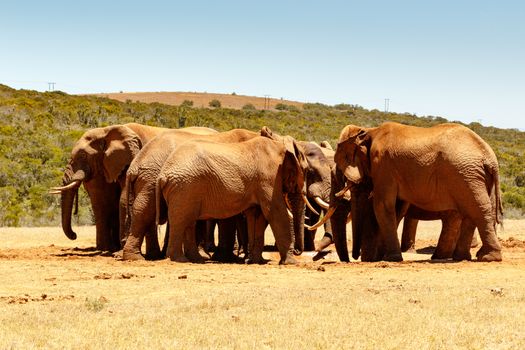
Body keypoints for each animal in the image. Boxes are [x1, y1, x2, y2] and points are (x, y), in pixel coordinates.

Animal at [119, 129, 258, 260]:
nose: (244, 255)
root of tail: (135, 165)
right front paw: (226, 258)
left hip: (149, 180)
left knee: (147, 212)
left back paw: (154, 256)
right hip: (151, 179)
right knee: (146, 211)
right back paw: (137, 257)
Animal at [158, 135, 310, 264]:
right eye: (307, 170)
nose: (298, 251)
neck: (280, 146)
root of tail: (163, 174)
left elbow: (257, 215)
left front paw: (255, 261)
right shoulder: (269, 178)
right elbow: (276, 212)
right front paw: (291, 263)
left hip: (185, 189)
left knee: (189, 221)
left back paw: (196, 259)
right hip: (184, 187)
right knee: (181, 221)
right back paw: (180, 259)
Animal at [326, 121, 502, 262]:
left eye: (340, 170)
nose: (353, 257)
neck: (369, 131)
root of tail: (490, 156)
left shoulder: (382, 165)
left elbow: (382, 205)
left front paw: (390, 259)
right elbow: (395, 207)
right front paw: (383, 257)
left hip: (464, 173)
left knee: (477, 209)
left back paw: (487, 257)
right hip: (472, 176)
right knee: (470, 211)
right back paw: (462, 258)